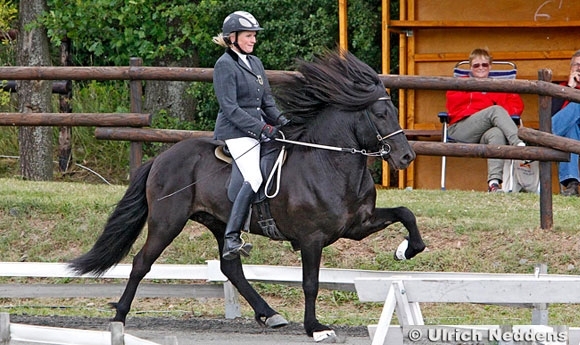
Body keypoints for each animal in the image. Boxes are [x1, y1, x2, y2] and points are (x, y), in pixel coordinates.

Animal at [70, 49, 426, 338]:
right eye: (380, 114)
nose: (406, 157)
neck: (329, 162)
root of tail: (161, 157)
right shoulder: (311, 238)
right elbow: (310, 283)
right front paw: (315, 328)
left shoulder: (357, 225)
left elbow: (405, 213)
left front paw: (407, 250)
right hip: (167, 221)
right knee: (142, 262)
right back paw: (119, 316)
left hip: (218, 222)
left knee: (231, 269)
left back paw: (270, 314)